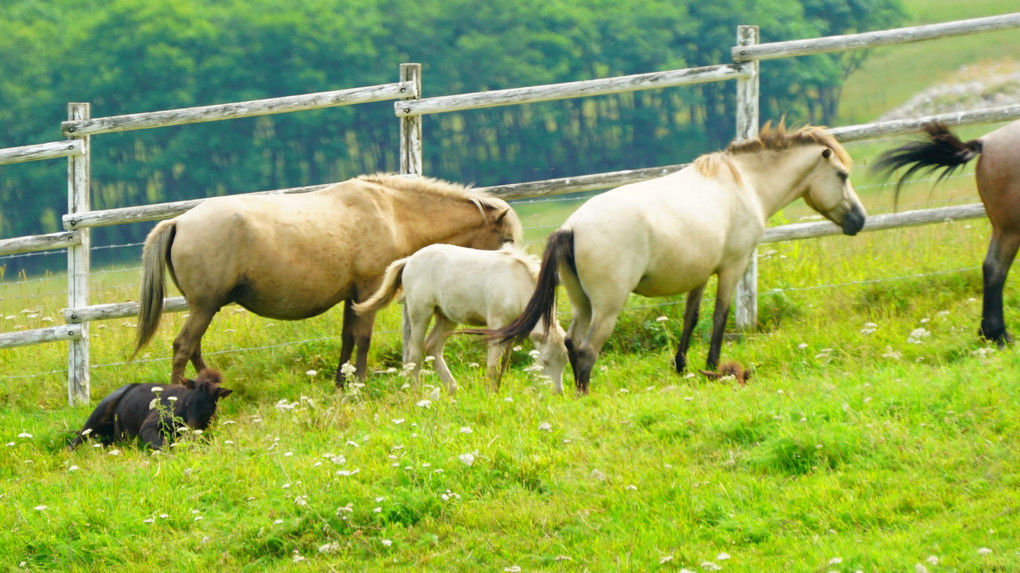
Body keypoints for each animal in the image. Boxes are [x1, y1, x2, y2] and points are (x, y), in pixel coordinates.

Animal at [131, 171, 522, 381]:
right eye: (506, 239)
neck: (392, 213)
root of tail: (178, 221)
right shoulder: (368, 291)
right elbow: (363, 339)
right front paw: (360, 383)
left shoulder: (353, 297)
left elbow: (348, 338)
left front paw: (341, 383)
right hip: (205, 307)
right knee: (183, 347)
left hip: (204, 308)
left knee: (193, 349)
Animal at [354, 240, 571, 391]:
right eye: (545, 362)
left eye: (565, 361)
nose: (557, 392)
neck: (515, 284)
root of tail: (408, 261)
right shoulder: (497, 325)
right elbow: (493, 366)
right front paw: (490, 394)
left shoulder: (511, 330)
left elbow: (503, 364)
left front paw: (497, 391)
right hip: (420, 312)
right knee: (414, 353)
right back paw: (417, 393)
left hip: (446, 317)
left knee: (432, 346)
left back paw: (452, 389)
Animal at [487, 124, 869, 391]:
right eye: (843, 175)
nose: (860, 220)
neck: (743, 183)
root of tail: (571, 228)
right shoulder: (732, 267)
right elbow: (719, 317)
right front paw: (714, 369)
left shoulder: (698, 275)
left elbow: (691, 318)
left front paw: (681, 366)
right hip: (607, 307)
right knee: (586, 350)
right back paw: (586, 394)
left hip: (584, 304)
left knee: (570, 342)